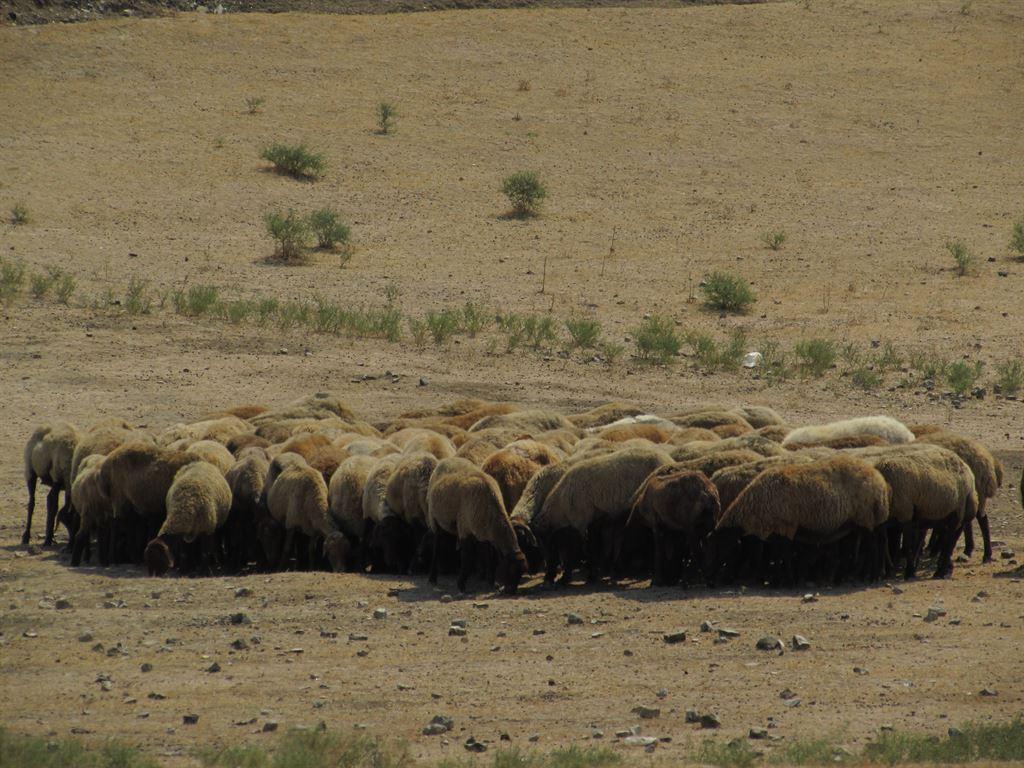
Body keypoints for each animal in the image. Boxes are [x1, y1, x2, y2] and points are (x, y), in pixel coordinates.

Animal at [426, 457, 528, 593]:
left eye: (521, 574)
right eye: (510, 570)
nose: (510, 592)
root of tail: (446, 459)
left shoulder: (484, 534)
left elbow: (489, 557)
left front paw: (492, 582)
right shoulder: (464, 527)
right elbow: (467, 558)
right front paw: (461, 585)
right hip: (434, 518)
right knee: (437, 547)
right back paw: (432, 578)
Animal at [533, 446, 673, 585]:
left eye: (547, 544)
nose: (547, 578)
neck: (562, 503)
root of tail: (668, 458)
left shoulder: (580, 521)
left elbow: (583, 549)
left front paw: (585, 576)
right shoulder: (592, 521)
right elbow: (592, 546)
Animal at [707, 455, 891, 587]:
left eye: (719, 547)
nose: (710, 581)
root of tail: (879, 479)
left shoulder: (786, 526)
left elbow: (784, 554)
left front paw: (786, 581)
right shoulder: (777, 530)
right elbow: (779, 554)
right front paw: (780, 580)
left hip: (867, 518)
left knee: (872, 547)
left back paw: (872, 576)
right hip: (856, 523)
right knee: (856, 549)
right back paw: (842, 578)